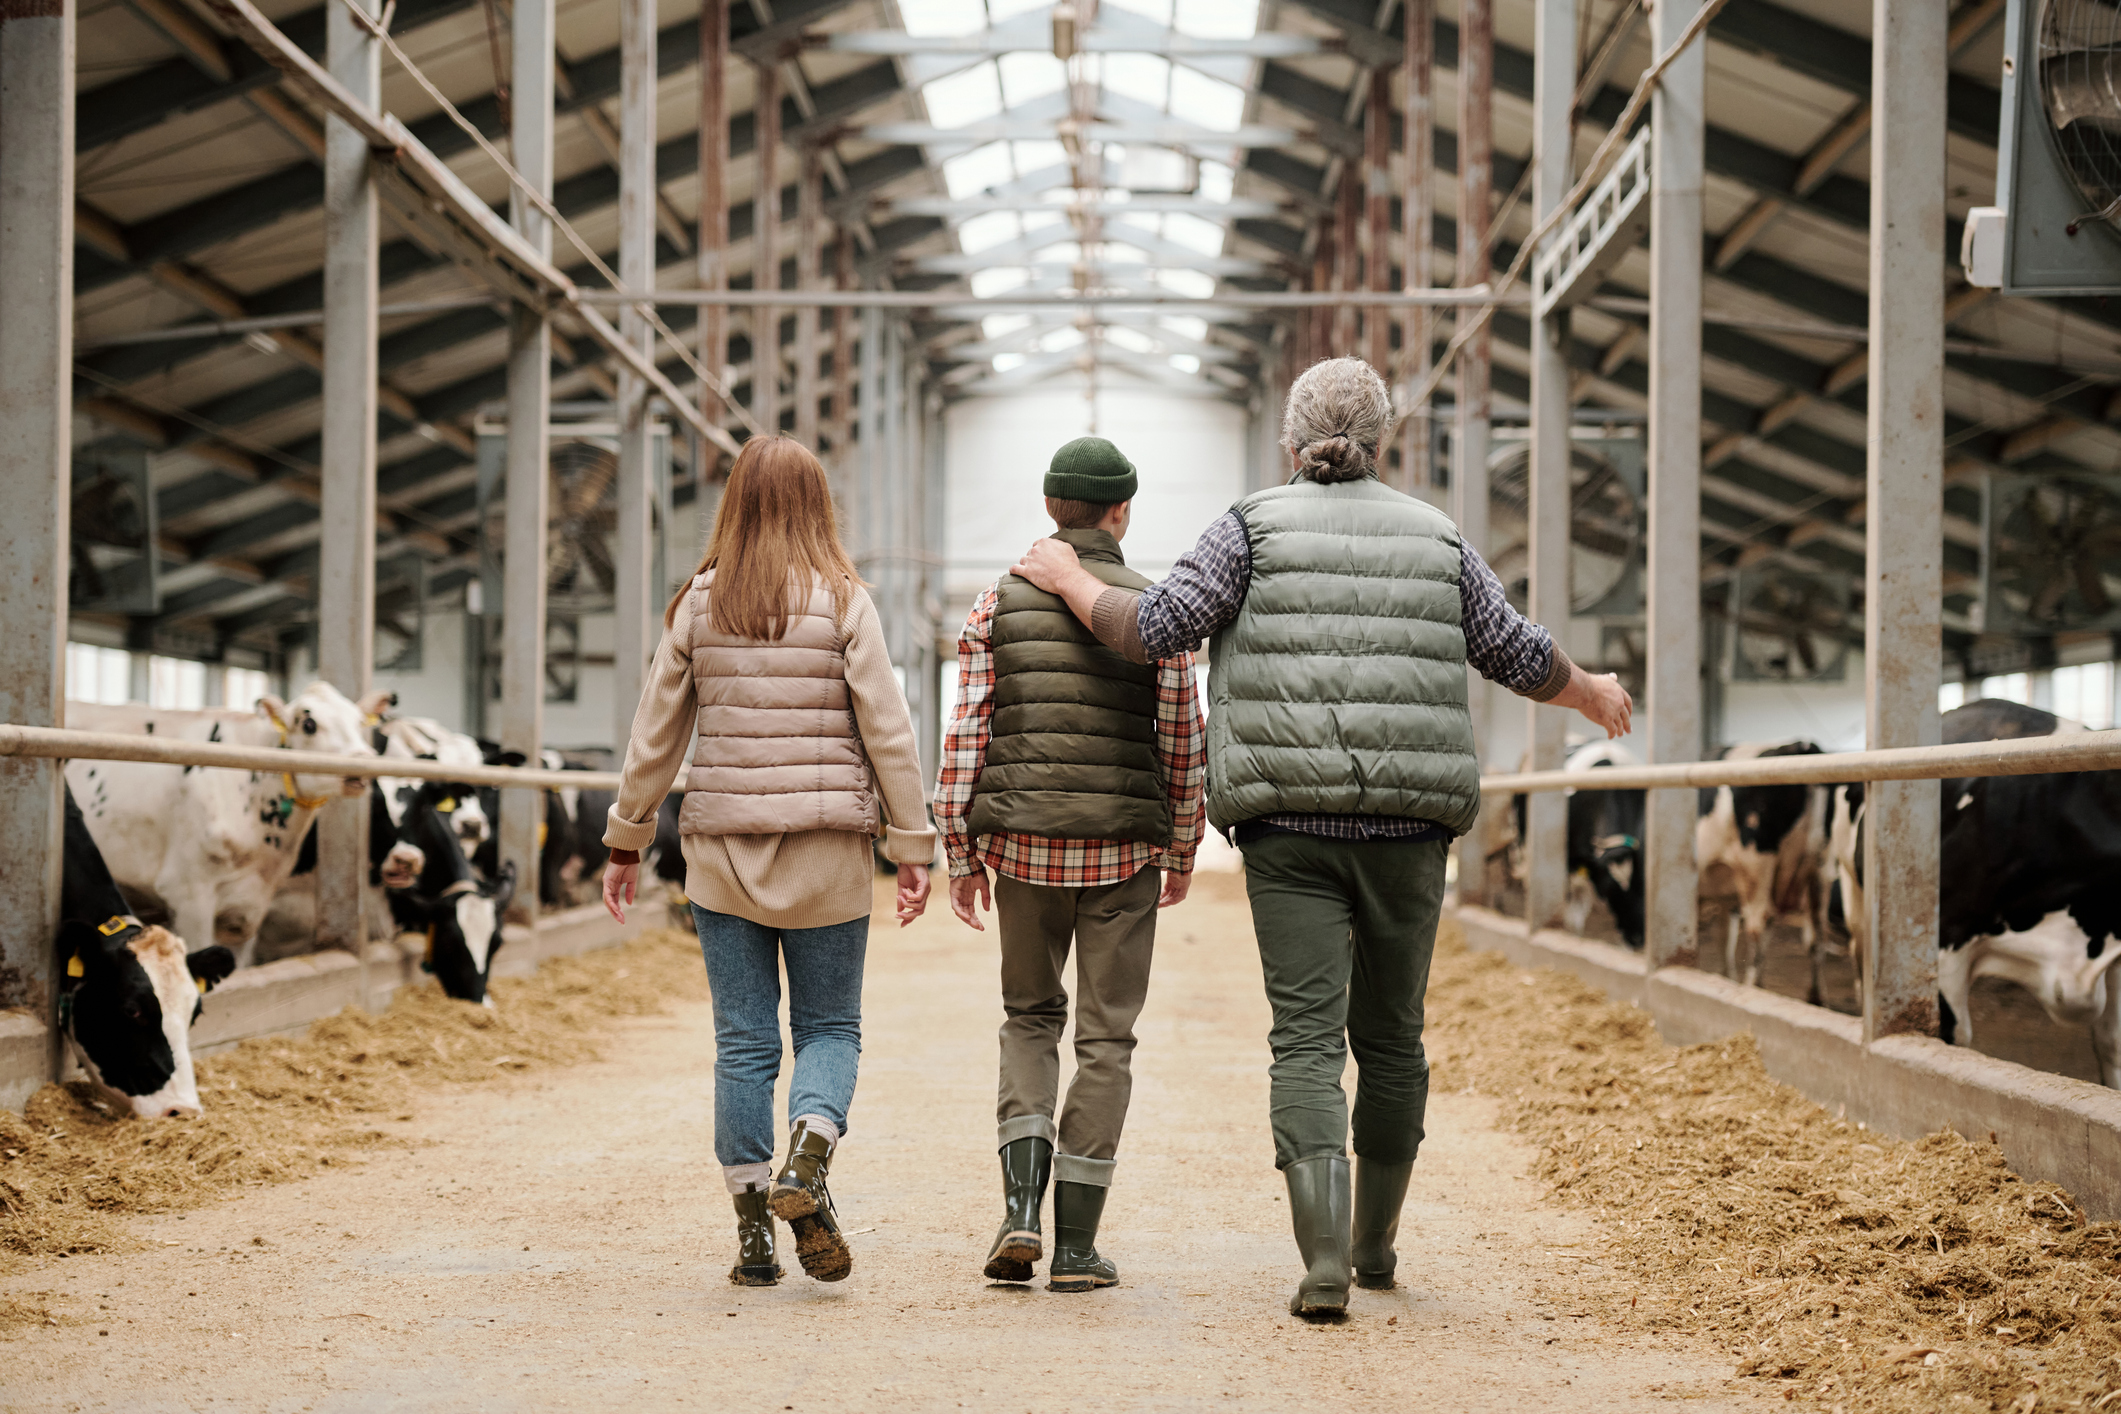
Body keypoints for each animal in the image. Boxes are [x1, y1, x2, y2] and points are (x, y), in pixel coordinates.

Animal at [1688, 741, 1841, 996]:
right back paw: (1816, 996)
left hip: (1755, 867)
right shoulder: (1724, 898)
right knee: (1817, 933)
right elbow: (1724, 938)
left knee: (1758, 925)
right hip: (1819, 870)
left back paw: (1752, 986)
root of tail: (1800, 745)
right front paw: (1724, 976)